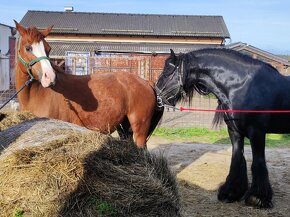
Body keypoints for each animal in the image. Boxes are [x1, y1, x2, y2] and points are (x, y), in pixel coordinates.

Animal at [14, 21, 163, 147]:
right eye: (28, 48)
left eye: (48, 48)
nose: (49, 77)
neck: (39, 95)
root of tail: (146, 82)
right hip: (124, 129)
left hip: (139, 130)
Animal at [156, 48, 290, 208]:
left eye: (167, 72)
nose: (157, 95)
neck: (243, 85)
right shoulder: (234, 131)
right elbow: (237, 159)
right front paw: (231, 193)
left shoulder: (257, 132)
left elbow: (258, 163)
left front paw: (257, 198)